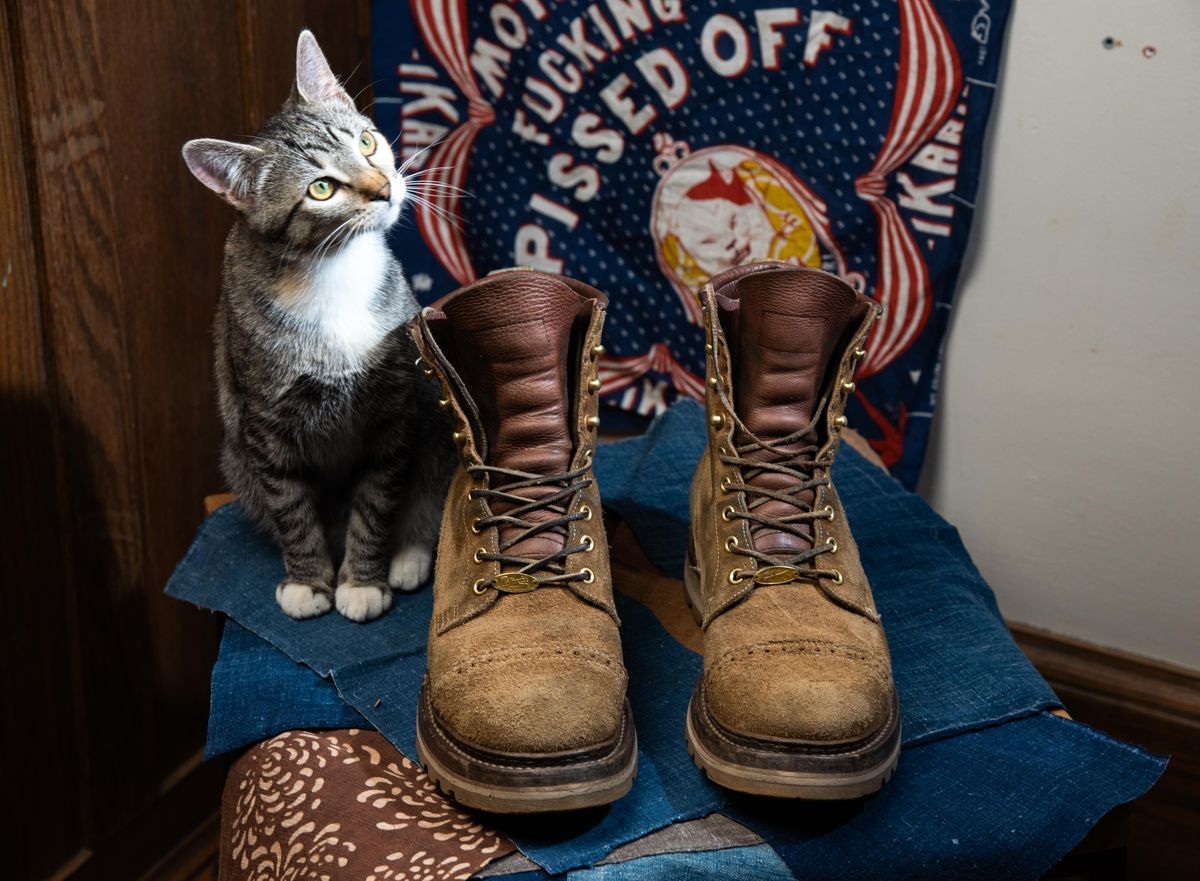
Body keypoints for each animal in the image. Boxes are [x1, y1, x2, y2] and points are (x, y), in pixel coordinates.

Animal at [180, 32, 451, 619]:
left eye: (368, 143)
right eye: (321, 188)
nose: (385, 189)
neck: (333, 270)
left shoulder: (393, 411)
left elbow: (377, 498)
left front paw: (364, 580)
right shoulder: (264, 421)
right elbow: (290, 505)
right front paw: (309, 580)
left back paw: (409, 556)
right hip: (236, 459)